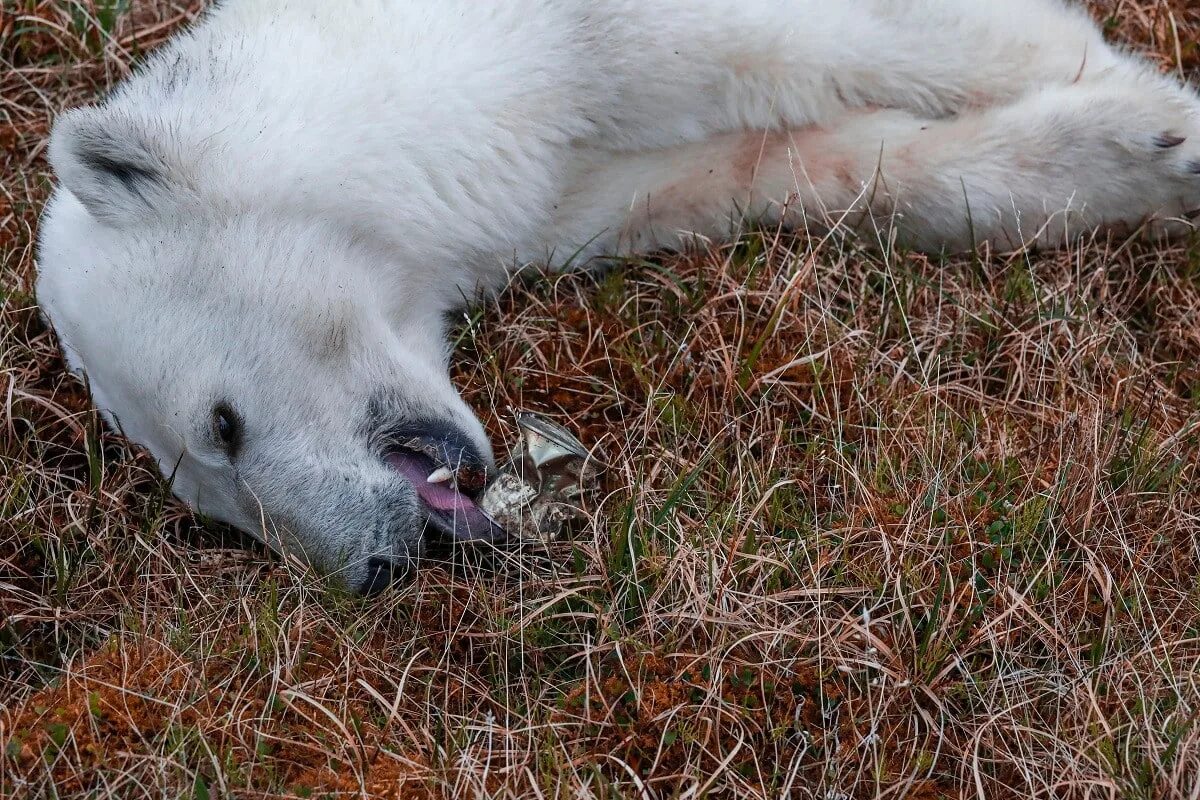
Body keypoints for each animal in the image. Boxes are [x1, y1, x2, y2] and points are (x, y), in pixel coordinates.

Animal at [35, 1, 1200, 594]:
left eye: (220, 425)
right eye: (213, 509)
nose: (373, 565)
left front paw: (1157, 118)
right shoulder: (574, 180)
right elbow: (790, 163)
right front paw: (1128, 157)